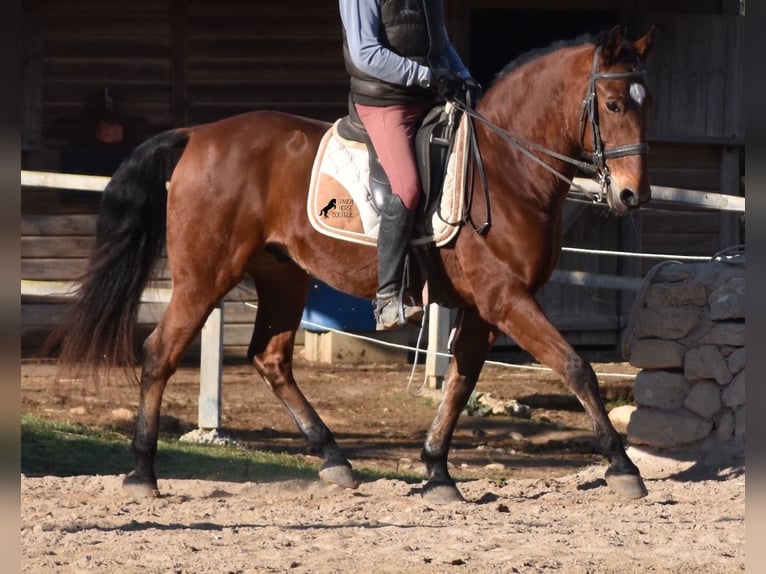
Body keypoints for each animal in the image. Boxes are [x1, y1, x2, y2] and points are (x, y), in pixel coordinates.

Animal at [51, 25, 656, 504]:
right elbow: (577, 367)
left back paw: (334, 459)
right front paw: (622, 466)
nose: (633, 196)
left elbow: (461, 382)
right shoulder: (505, 298)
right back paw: (142, 472)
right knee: (161, 352)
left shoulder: (487, 307)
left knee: (270, 357)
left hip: (283, 275)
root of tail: (197, 135)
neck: (507, 168)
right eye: (614, 105)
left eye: (646, 104)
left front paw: (437, 472)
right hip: (205, 276)